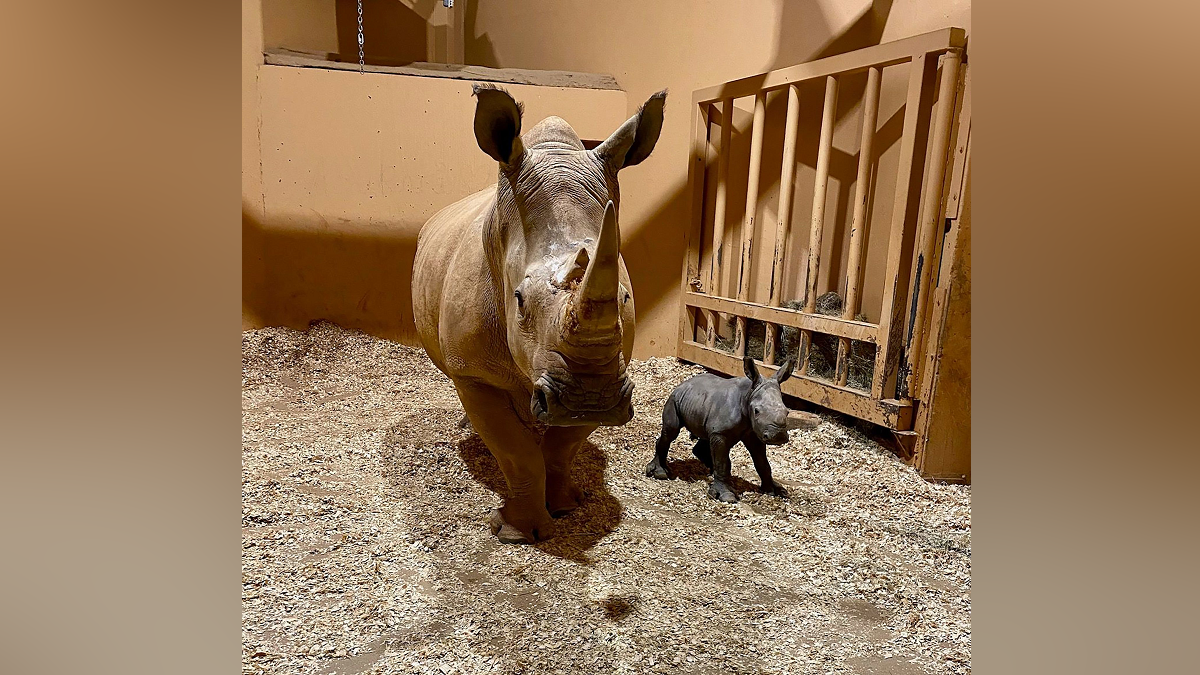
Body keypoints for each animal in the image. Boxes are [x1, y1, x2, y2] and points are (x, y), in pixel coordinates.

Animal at [412, 85, 666, 544]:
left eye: (624, 298)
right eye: (518, 300)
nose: (592, 399)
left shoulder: (598, 371)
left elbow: (562, 446)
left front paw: (566, 506)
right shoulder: (473, 372)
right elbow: (516, 451)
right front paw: (518, 533)